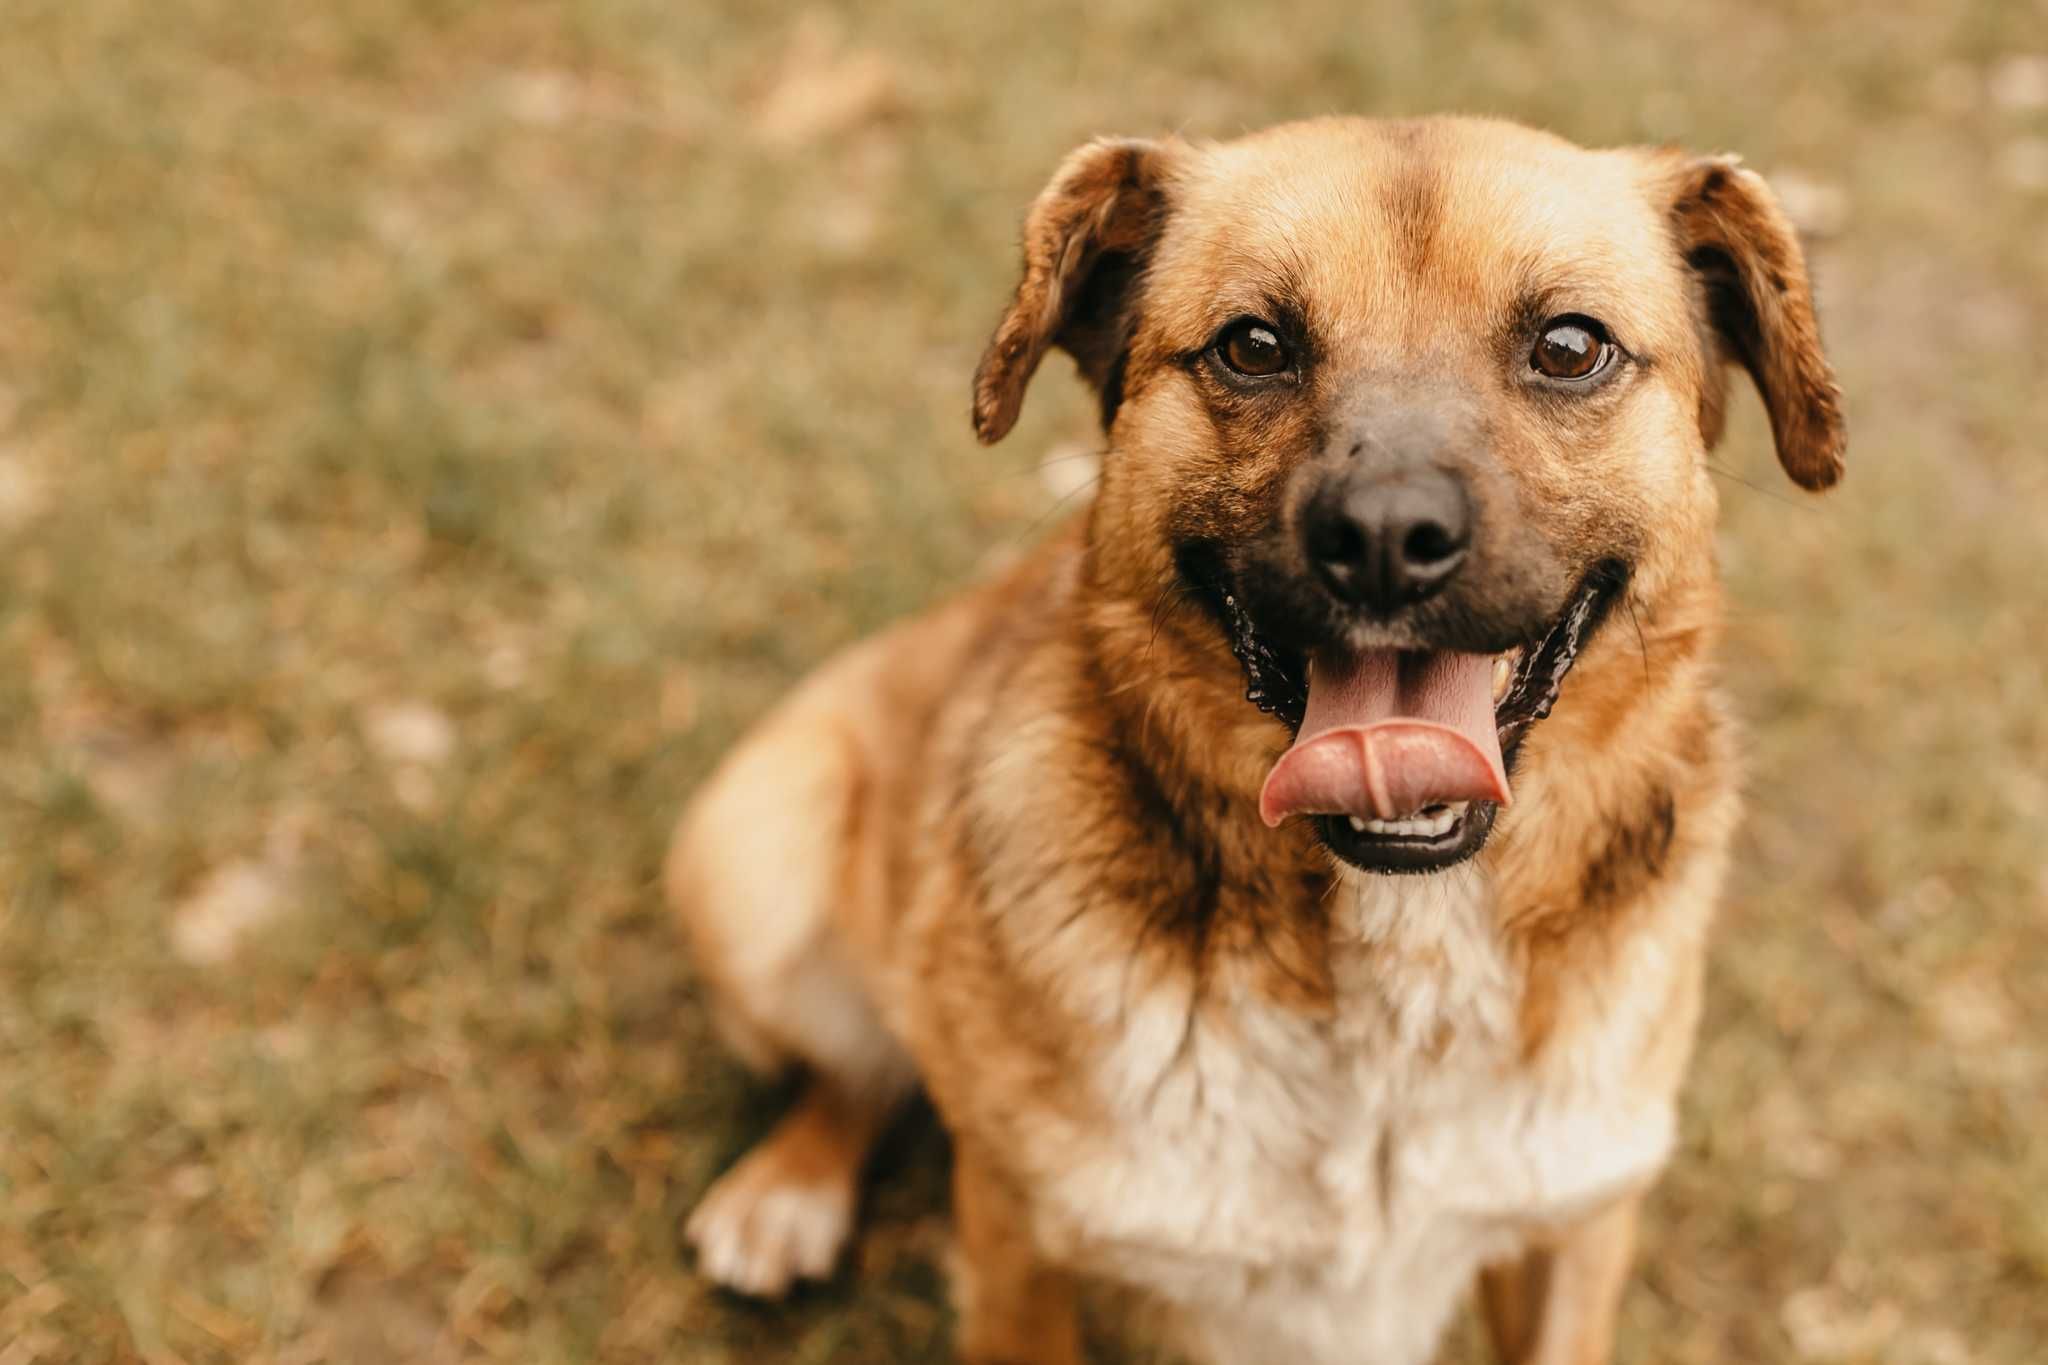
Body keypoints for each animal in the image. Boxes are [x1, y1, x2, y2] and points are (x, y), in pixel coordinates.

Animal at [667, 120, 1843, 1365]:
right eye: (1252, 345)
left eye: (1569, 347)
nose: (1385, 537)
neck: (1399, 948)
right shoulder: (1017, 1243)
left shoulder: (1569, 1231)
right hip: (755, 856)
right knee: (856, 1066)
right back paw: (785, 1188)